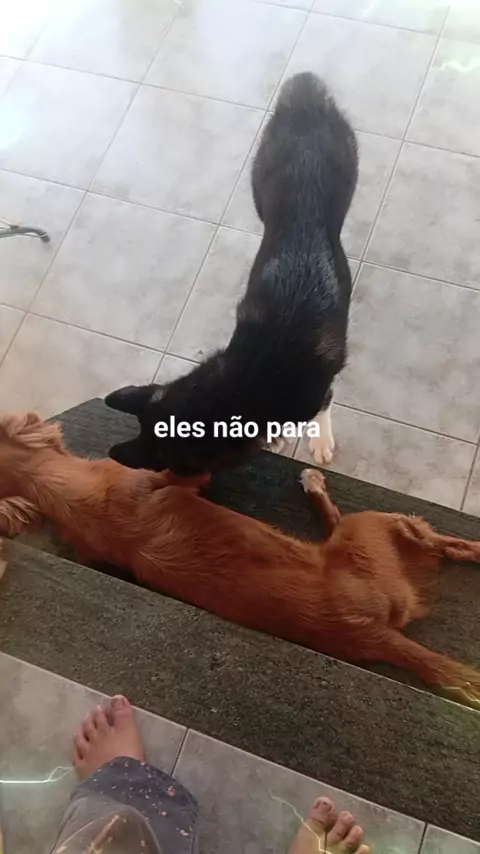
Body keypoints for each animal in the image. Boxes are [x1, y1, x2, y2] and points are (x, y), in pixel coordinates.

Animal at [105, 72, 358, 475]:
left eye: (163, 460)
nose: (121, 456)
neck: (250, 377)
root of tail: (303, 103)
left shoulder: (319, 389)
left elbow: (324, 409)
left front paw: (318, 440)